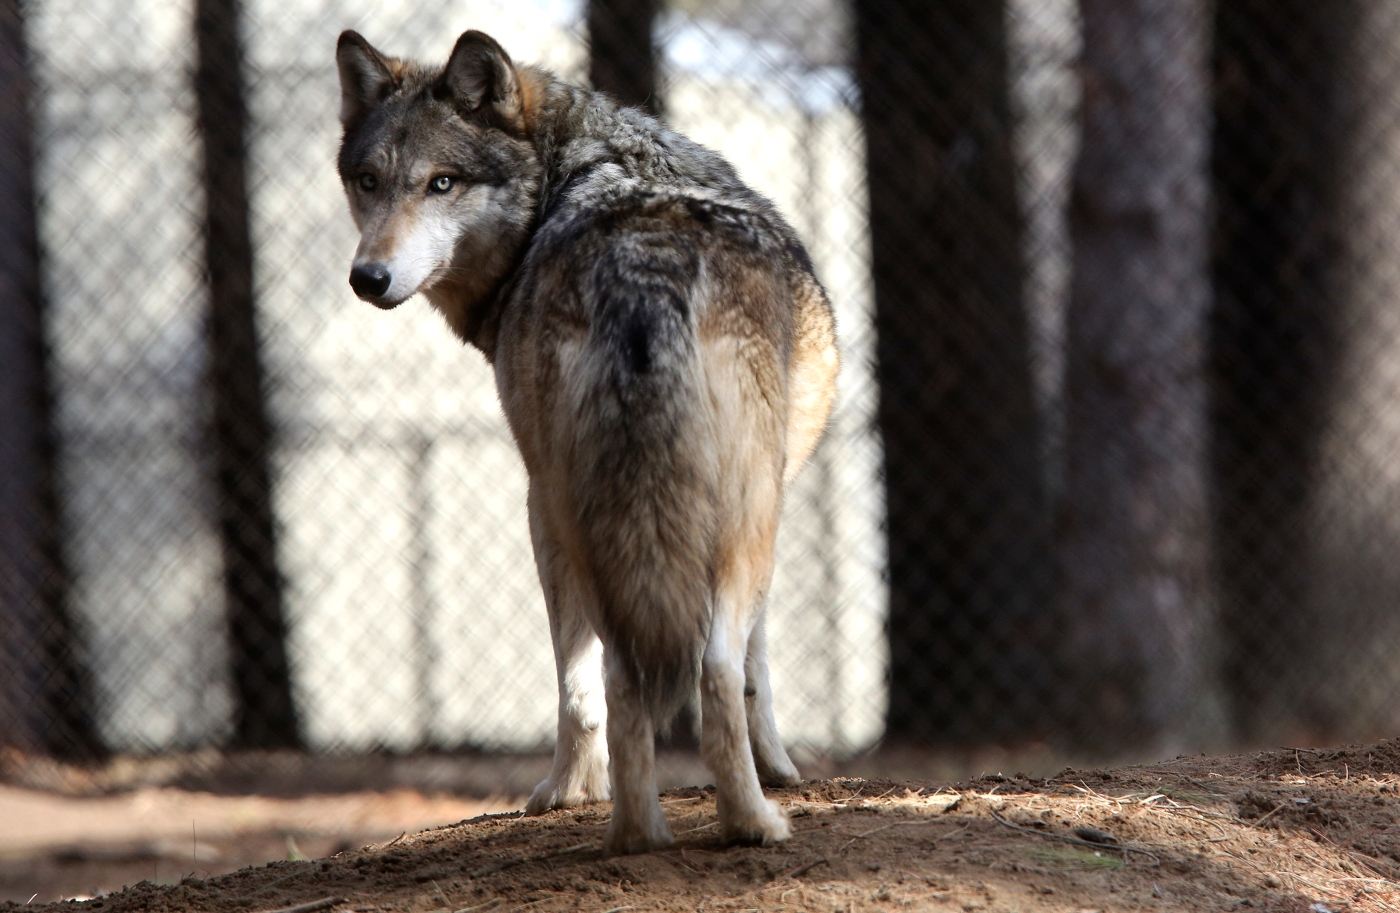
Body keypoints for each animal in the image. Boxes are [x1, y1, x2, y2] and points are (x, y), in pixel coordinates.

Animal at [335, 28, 839, 854]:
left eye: (441, 183)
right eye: (369, 182)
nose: (367, 277)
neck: (572, 174)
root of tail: (642, 266)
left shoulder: (547, 498)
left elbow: (583, 679)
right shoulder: (774, 503)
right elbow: (757, 666)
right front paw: (781, 768)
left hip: (587, 513)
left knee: (617, 675)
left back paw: (634, 830)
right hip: (730, 518)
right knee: (710, 666)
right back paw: (751, 821)